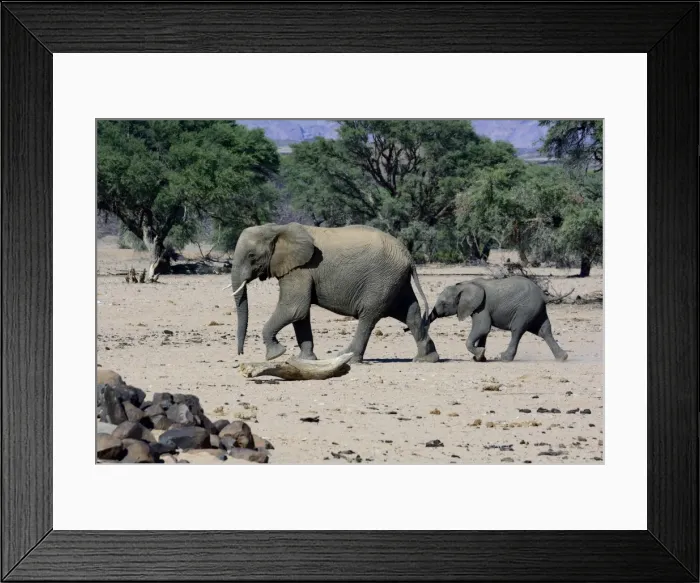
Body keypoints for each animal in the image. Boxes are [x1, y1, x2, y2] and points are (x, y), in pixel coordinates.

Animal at [229, 222, 440, 364]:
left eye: (251, 256)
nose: (240, 354)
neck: (276, 228)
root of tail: (408, 255)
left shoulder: (301, 269)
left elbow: (294, 308)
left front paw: (275, 354)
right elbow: (300, 314)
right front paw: (306, 360)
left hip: (382, 279)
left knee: (368, 316)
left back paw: (347, 358)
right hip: (396, 281)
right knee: (410, 313)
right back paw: (426, 359)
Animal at [428, 276, 568, 362]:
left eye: (443, 303)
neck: (463, 285)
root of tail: (543, 295)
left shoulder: (482, 306)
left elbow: (483, 328)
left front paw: (479, 354)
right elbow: (484, 331)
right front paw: (480, 358)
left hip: (525, 310)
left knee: (517, 330)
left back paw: (505, 358)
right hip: (536, 310)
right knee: (544, 331)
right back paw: (562, 358)